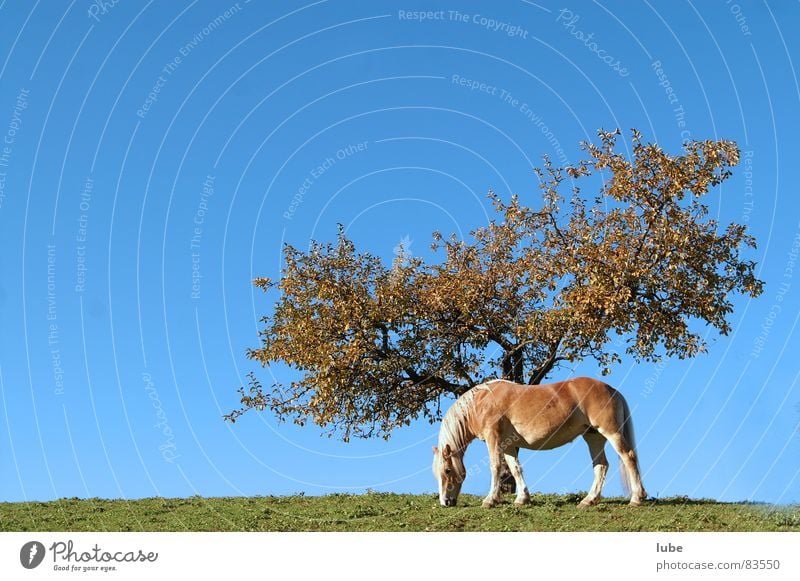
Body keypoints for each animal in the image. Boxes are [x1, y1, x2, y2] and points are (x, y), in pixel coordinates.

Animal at [428, 376, 648, 508]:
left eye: (447, 470)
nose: (445, 502)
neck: (481, 402)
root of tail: (611, 389)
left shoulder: (494, 438)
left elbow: (495, 467)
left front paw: (490, 500)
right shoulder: (508, 445)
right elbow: (515, 469)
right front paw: (521, 499)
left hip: (610, 432)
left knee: (628, 457)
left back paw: (636, 498)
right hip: (593, 436)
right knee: (601, 466)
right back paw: (588, 500)